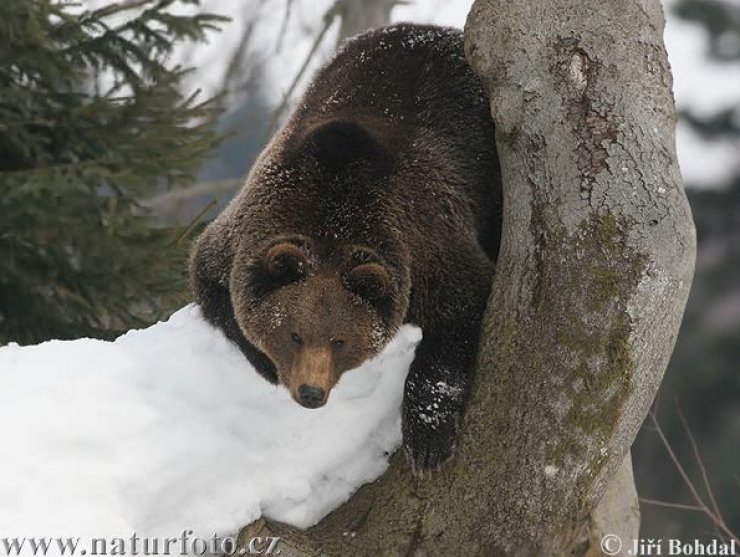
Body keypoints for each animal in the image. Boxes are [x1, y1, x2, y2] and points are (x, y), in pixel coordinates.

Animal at [191, 25, 502, 470]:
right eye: (294, 333)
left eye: (340, 339)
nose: (311, 393)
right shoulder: (243, 233)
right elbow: (213, 281)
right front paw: (265, 363)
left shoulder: (426, 246)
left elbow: (463, 307)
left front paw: (428, 437)